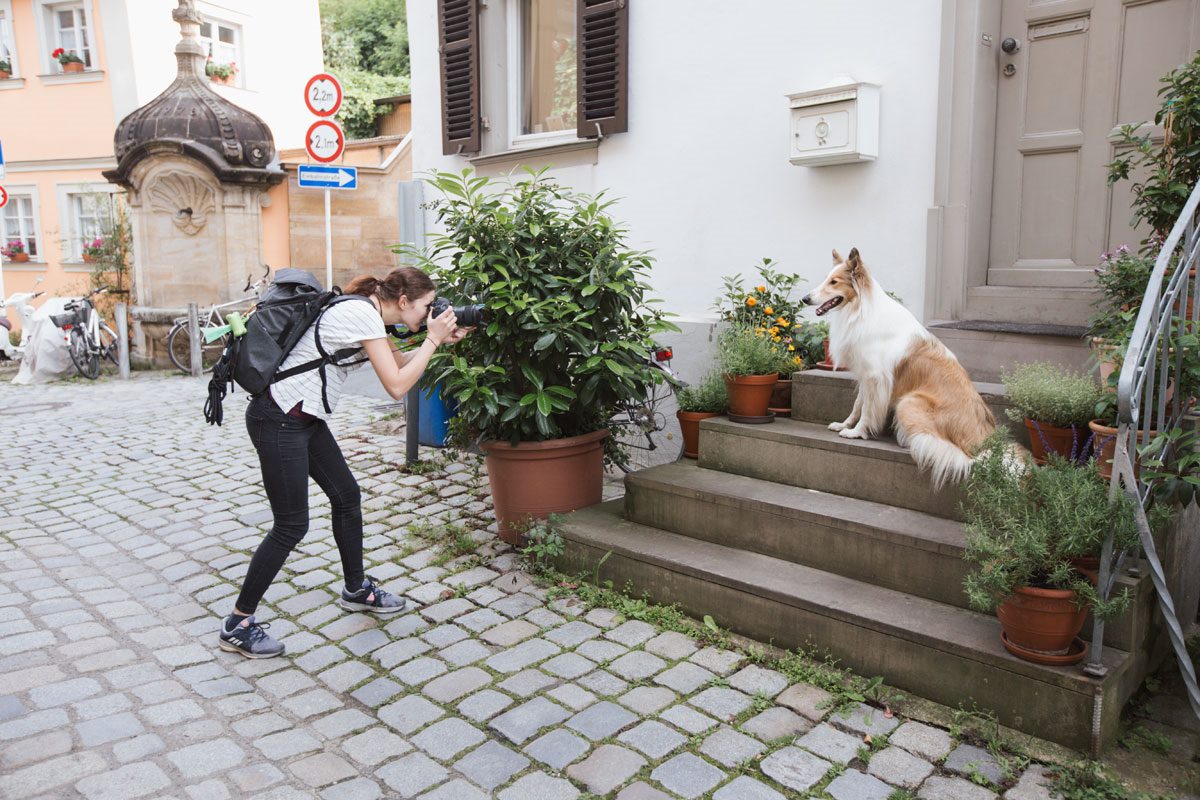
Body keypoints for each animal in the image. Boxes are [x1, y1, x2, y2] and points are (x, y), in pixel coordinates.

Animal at [806, 248, 993, 489]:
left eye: (834, 282)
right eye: (826, 279)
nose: (805, 299)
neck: (860, 309)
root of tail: (982, 441)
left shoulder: (876, 378)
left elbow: (867, 410)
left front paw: (857, 433)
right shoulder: (866, 376)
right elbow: (857, 405)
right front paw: (843, 424)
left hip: (909, 401)